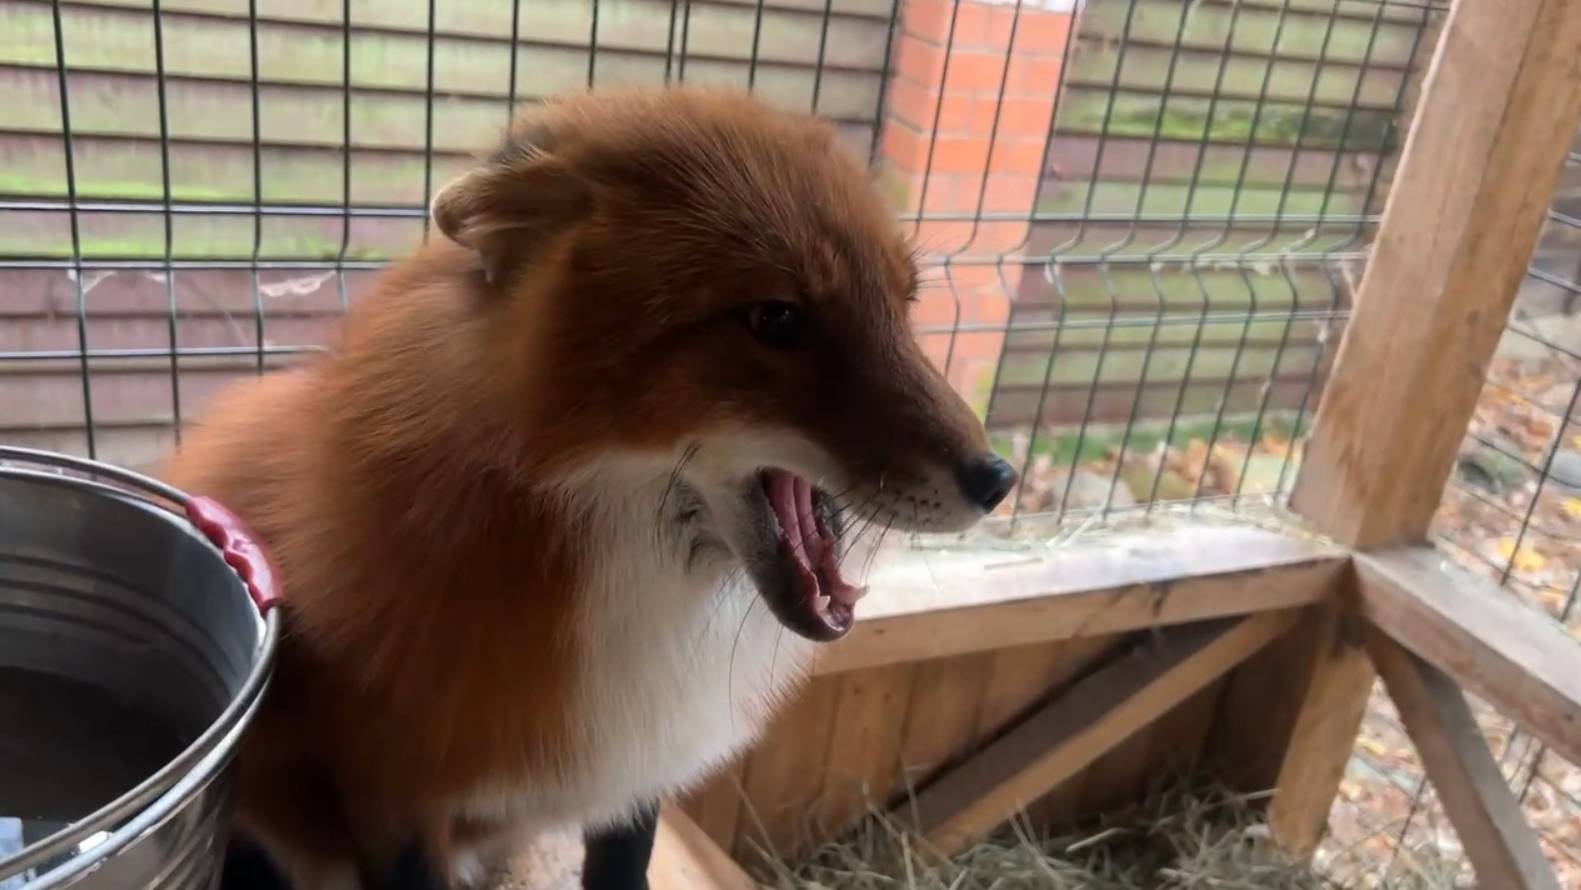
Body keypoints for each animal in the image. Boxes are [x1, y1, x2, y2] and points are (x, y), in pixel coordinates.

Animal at [162, 87, 1016, 890]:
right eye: (775, 318)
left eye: (904, 305)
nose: (997, 478)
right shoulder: (389, 792)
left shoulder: (633, 766)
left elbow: (623, 864)